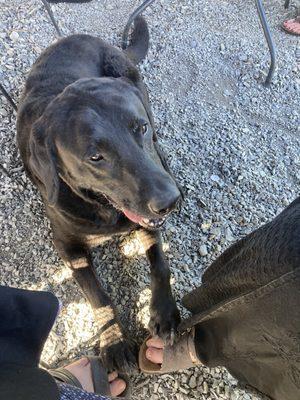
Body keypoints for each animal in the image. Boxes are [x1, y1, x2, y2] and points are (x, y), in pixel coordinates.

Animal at [17, 16, 182, 372]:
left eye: (140, 128)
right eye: (95, 157)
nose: (170, 201)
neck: (104, 209)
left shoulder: (147, 221)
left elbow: (160, 264)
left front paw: (164, 311)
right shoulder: (67, 247)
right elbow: (98, 296)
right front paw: (114, 341)